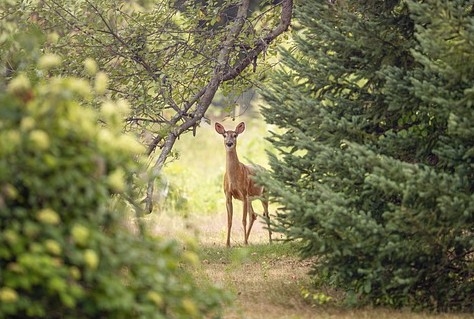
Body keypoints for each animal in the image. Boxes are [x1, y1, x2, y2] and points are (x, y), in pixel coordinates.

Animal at [215, 120, 270, 248]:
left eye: (235, 135)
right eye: (224, 135)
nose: (229, 143)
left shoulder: (244, 193)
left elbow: (243, 220)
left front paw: (244, 243)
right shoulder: (228, 195)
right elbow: (229, 221)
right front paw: (227, 244)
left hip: (264, 194)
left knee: (267, 216)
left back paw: (270, 241)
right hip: (251, 199)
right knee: (253, 215)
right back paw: (247, 240)